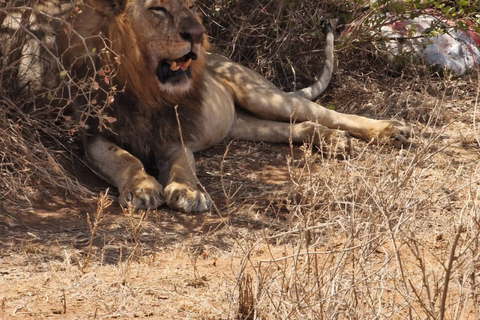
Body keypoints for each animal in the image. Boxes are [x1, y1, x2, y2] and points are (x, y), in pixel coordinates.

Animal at [1, 0, 410, 215]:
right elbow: (126, 159)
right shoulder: (92, 136)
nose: (198, 35)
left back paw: (390, 130)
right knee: (299, 128)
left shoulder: (174, 137)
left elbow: (184, 167)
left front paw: (189, 192)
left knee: (327, 114)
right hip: (244, 124)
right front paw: (142, 187)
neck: (144, 88)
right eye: (157, 8)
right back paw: (333, 142)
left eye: (187, 5)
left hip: (262, 96)